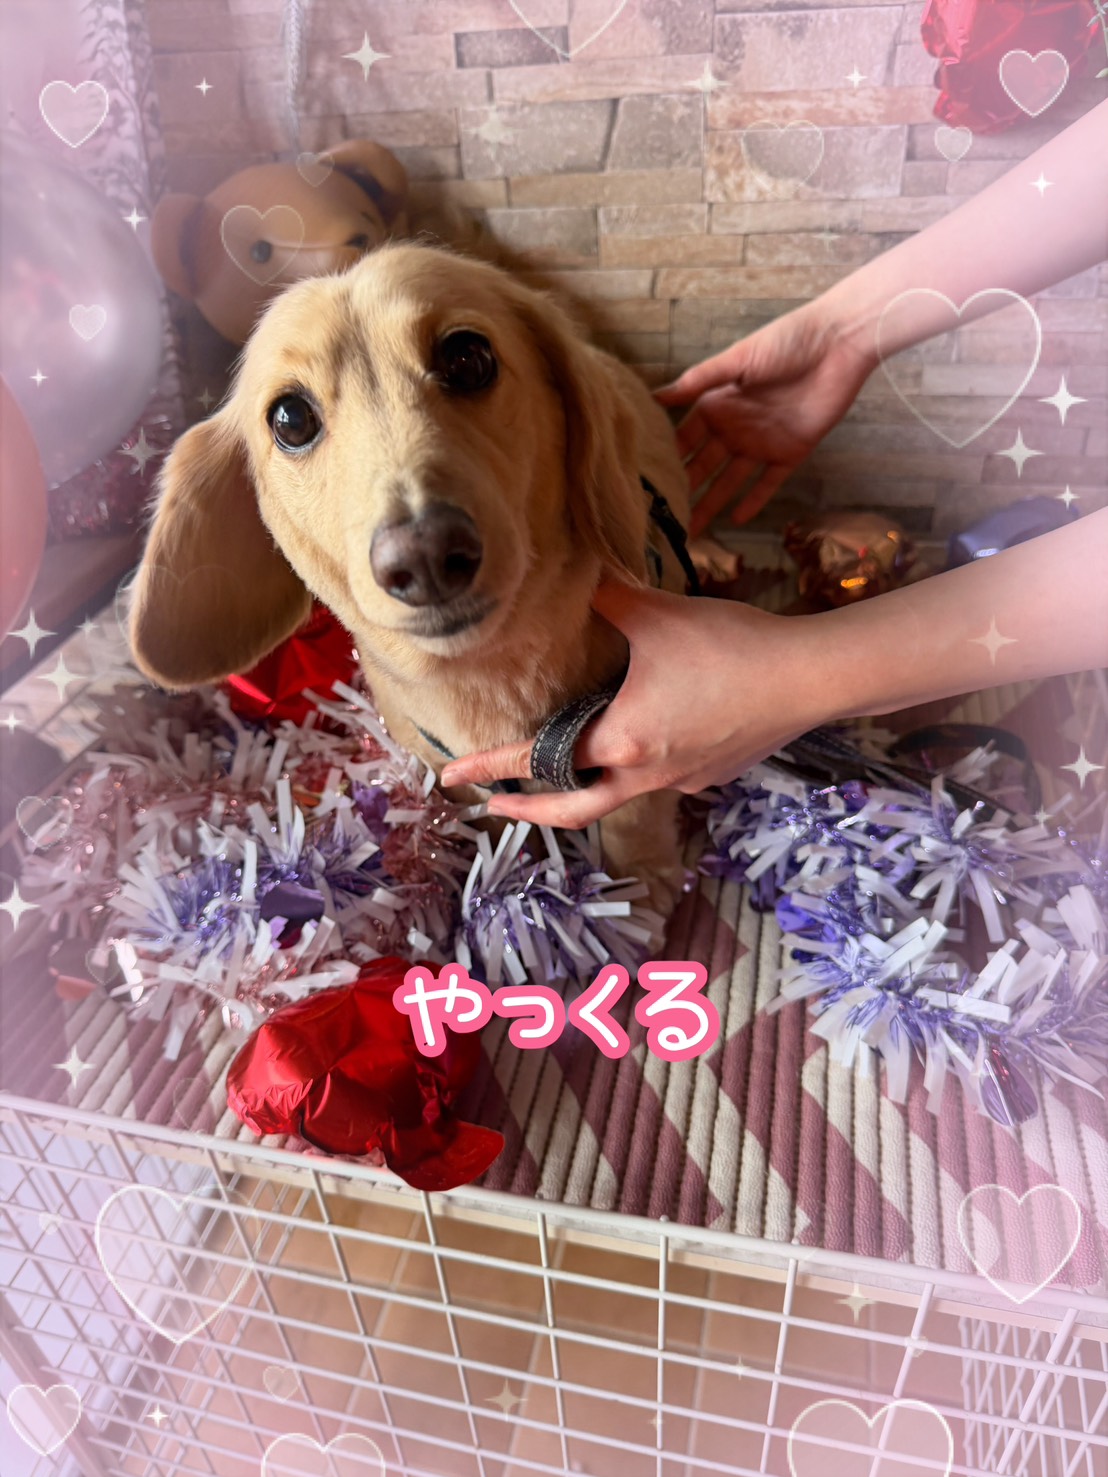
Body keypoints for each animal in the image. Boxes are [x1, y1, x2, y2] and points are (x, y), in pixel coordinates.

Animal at [129, 243, 693, 917]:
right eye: (289, 418)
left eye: (468, 357)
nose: (424, 557)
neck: (488, 679)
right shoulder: (455, 774)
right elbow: (492, 817)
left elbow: (636, 808)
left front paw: (642, 883)